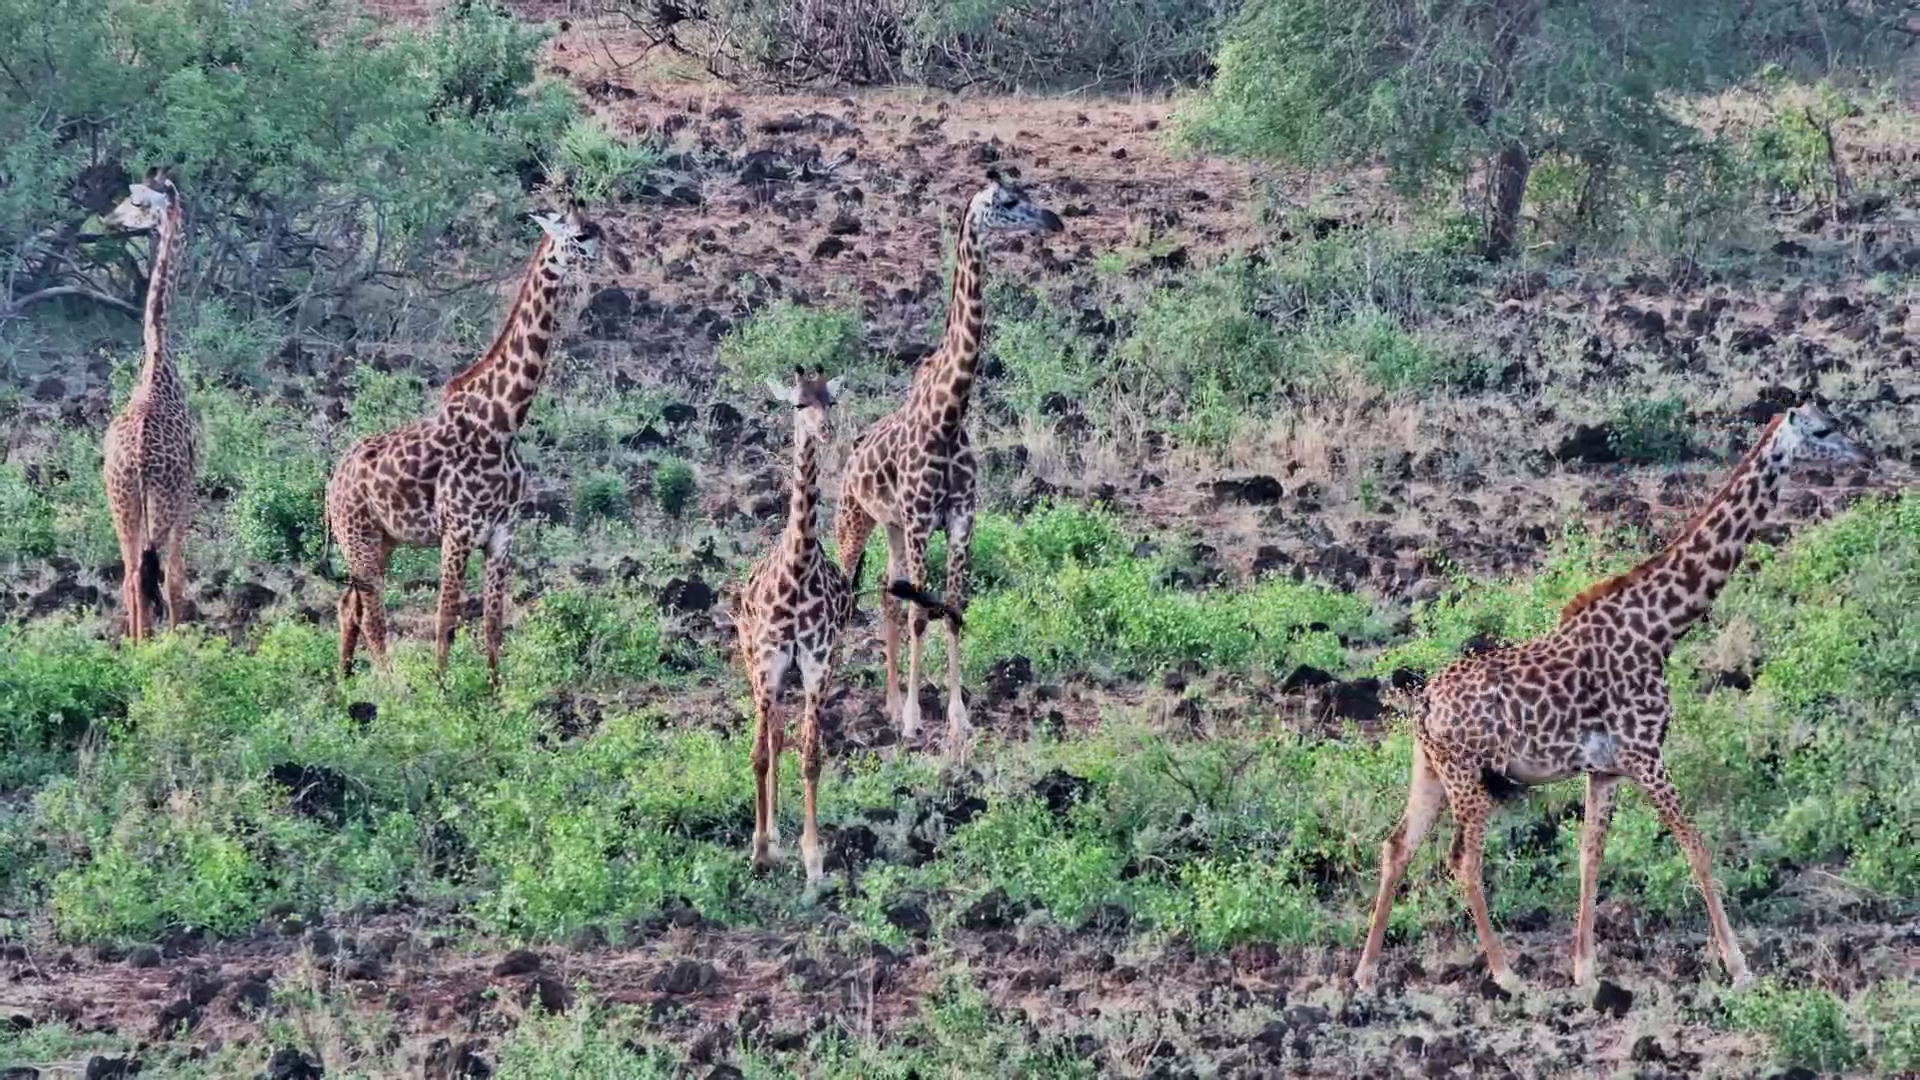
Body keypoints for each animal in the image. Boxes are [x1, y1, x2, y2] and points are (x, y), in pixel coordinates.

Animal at [325, 202, 603, 682]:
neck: (503, 422)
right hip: (356, 534)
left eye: (597, 231)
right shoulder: (457, 531)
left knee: (349, 606)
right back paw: (391, 689)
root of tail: (330, 483)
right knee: (373, 614)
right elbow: (446, 620)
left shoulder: (501, 534)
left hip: (382, 539)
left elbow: (493, 625)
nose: (601, 261)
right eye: (580, 236)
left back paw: (341, 687)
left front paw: (494, 694)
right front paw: (442, 689)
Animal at [733, 368, 959, 883]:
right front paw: (760, 849)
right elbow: (758, 755)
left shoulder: (818, 663)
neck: (798, 568)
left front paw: (812, 858)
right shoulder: (769, 661)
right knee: (771, 736)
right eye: (797, 404)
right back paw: (769, 835)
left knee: (782, 735)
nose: (824, 430)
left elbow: (811, 756)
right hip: (756, 663)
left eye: (829, 401)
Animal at [832, 168, 1062, 763]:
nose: (1054, 220)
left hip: (890, 527)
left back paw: (889, 705)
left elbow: (954, 608)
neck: (950, 414)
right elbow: (921, 614)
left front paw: (957, 719)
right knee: (853, 593)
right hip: (856, 521)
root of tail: (851, 457)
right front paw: (917, 720)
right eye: (1009, 200)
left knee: (886, 595)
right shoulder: (919, 521)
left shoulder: (960, 518)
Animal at [1353, 404, 1867, 993]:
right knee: (1462, 859)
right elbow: (1696, 845)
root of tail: (1424, 706)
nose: (1863, 456)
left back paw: (1365, 972)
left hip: (1431, 770)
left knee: (1397, 845)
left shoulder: (1605, 769)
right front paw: (1739, 966)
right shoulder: (1646, 754)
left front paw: (1585, 971)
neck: (1660, 627)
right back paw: (1505, 974)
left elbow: (1589, 856)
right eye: (1825, 429)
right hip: (1468, 775)